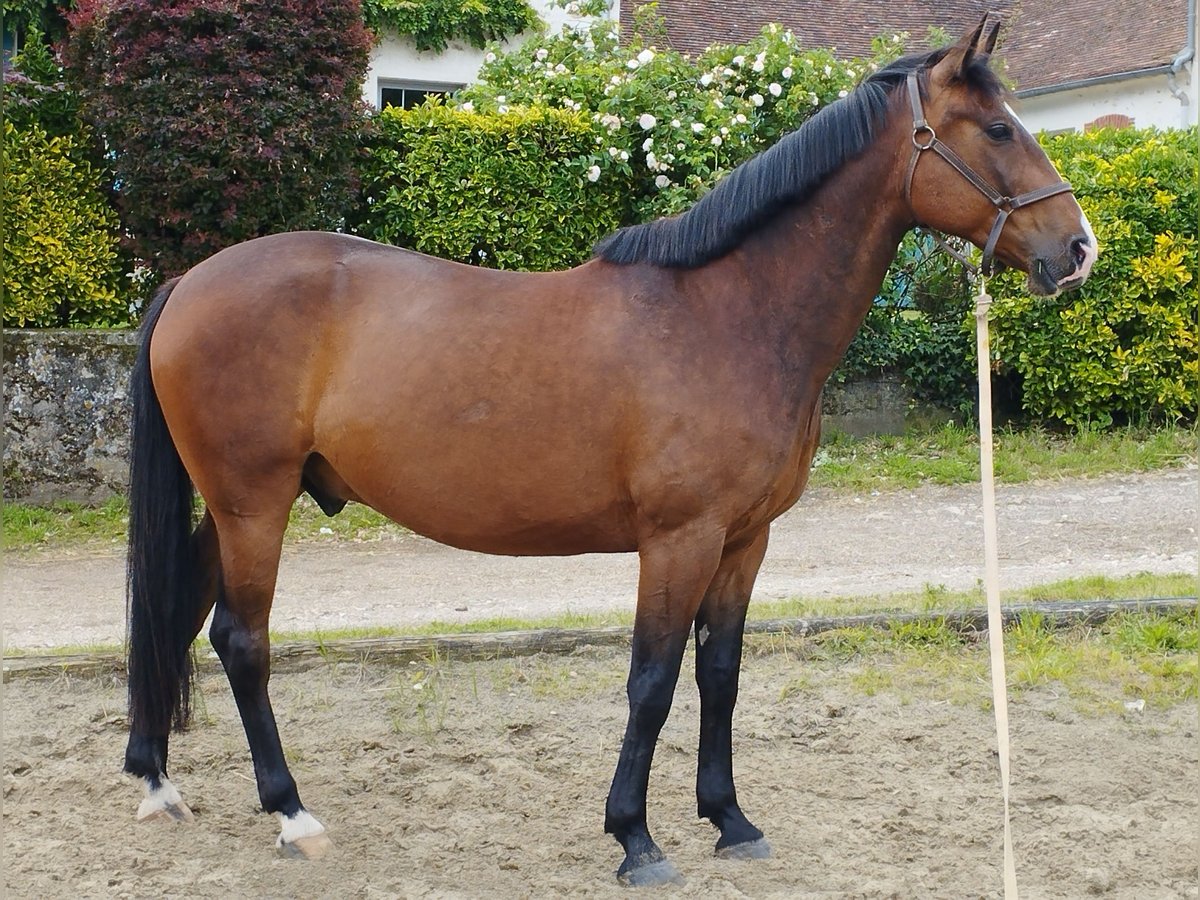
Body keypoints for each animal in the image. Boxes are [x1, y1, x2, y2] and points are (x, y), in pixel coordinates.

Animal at [124, 21, 1099, 888]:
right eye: (999, 129)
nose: (1078, 249)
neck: (730, 314)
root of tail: (188, 282)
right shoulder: (678, 540)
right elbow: (652, 681)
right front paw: (636, 838)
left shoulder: (744, 542)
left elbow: (719, 674)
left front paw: (730, 819)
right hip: (255, 504)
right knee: (240, 639)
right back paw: (292, 814)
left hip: (238, 506)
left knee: (176, 612)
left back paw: (157, 783)